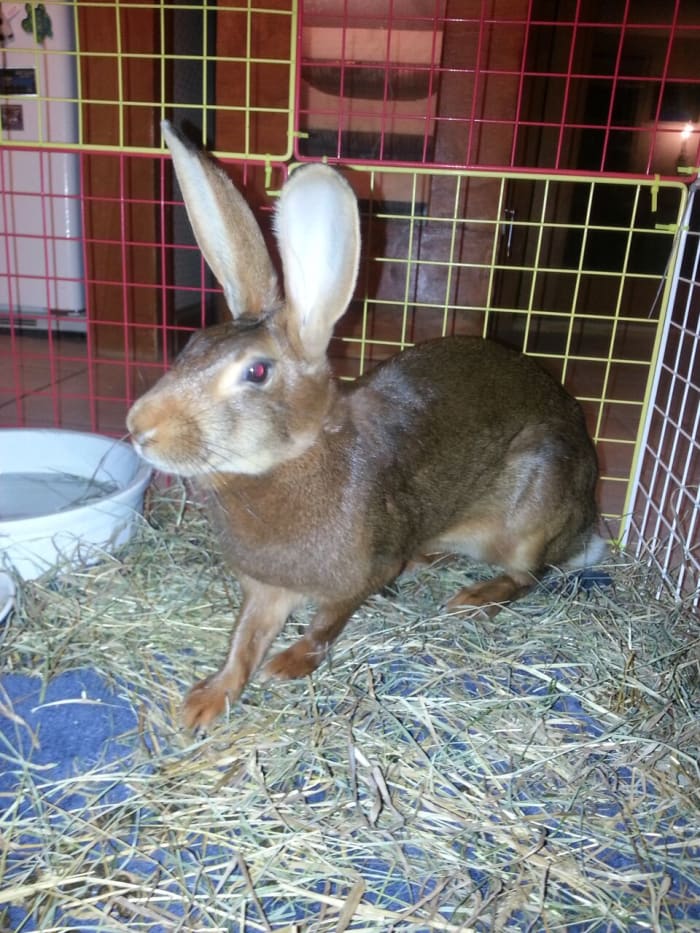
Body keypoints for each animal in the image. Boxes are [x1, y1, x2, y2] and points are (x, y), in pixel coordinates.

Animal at [127, 122, 608, 728]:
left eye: (256, 372)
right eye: (190, 345)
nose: (139, 428)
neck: (294, 458)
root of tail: (585, 520)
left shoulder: (357, 576)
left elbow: (324, 625)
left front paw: (288, 665)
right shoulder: (265, 588)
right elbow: (243, 639)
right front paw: (205, 702)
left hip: (534, 507)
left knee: (530, 575)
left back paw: (472, 598)